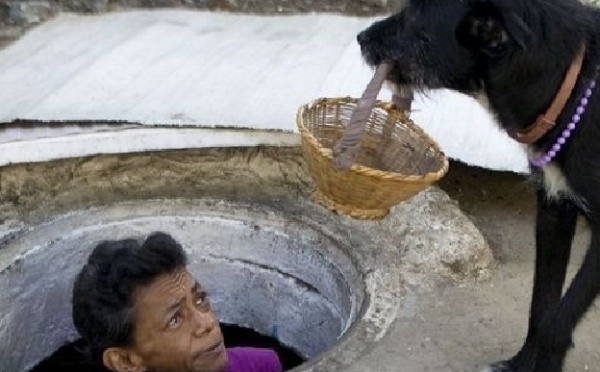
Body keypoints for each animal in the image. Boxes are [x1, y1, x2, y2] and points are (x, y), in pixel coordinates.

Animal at [356, 0, 600, 372]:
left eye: (415, 18)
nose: (360, 38)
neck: (570, 87)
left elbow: (558, 319)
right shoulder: (554, 211)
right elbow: (541, 306)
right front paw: (520, 364)